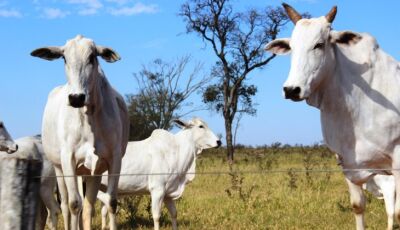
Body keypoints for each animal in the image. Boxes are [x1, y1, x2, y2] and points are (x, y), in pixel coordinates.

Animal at [32, 34, 130, 230]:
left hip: (91, 172)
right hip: (59, 169)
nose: (76, 98)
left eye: (92, 57)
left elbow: (110, 202)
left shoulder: (113, 160)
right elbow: (73, 204)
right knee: (65, 205)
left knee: (88, 206)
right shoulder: (68, 159)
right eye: (64, 58)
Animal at [266, 3, 400, 230]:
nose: (291, 89)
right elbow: (358, 206)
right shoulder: (347, 163)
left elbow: (397, 213)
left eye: (319, 45)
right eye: (292, 47)